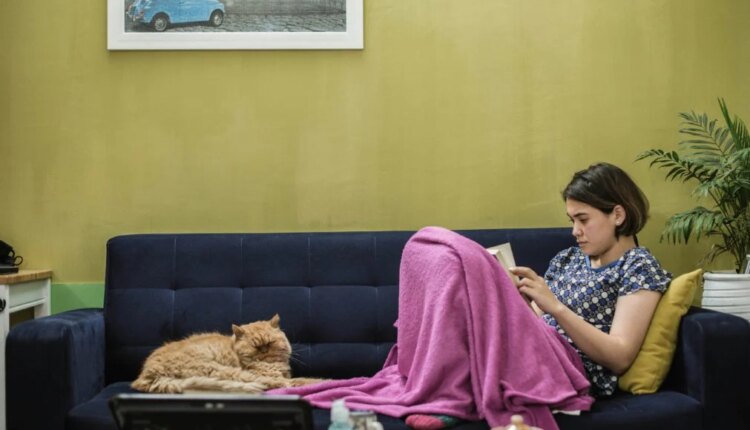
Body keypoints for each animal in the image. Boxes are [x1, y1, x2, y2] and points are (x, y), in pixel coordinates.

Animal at [131, 314, 322, 394]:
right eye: (256, 346)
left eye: (269, 343)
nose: (264, 351)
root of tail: (145, 374)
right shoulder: (268, 373)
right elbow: (294, 380)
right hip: (220, 370)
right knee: (274, 383)